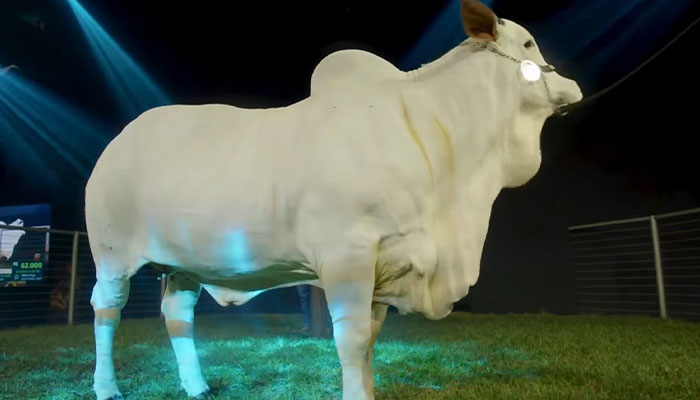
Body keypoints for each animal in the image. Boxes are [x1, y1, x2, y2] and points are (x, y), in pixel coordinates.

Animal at [85, 1, 582, 399]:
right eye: (528, 42)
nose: (575, 88)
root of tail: (120, 140)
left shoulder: (387, 262)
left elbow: (371, 342)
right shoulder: (348, 256)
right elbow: (354, 340)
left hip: (185, 264)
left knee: (176, 313)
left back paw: (197, 385)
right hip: (112, 255)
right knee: (106, 310)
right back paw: (107, 387)